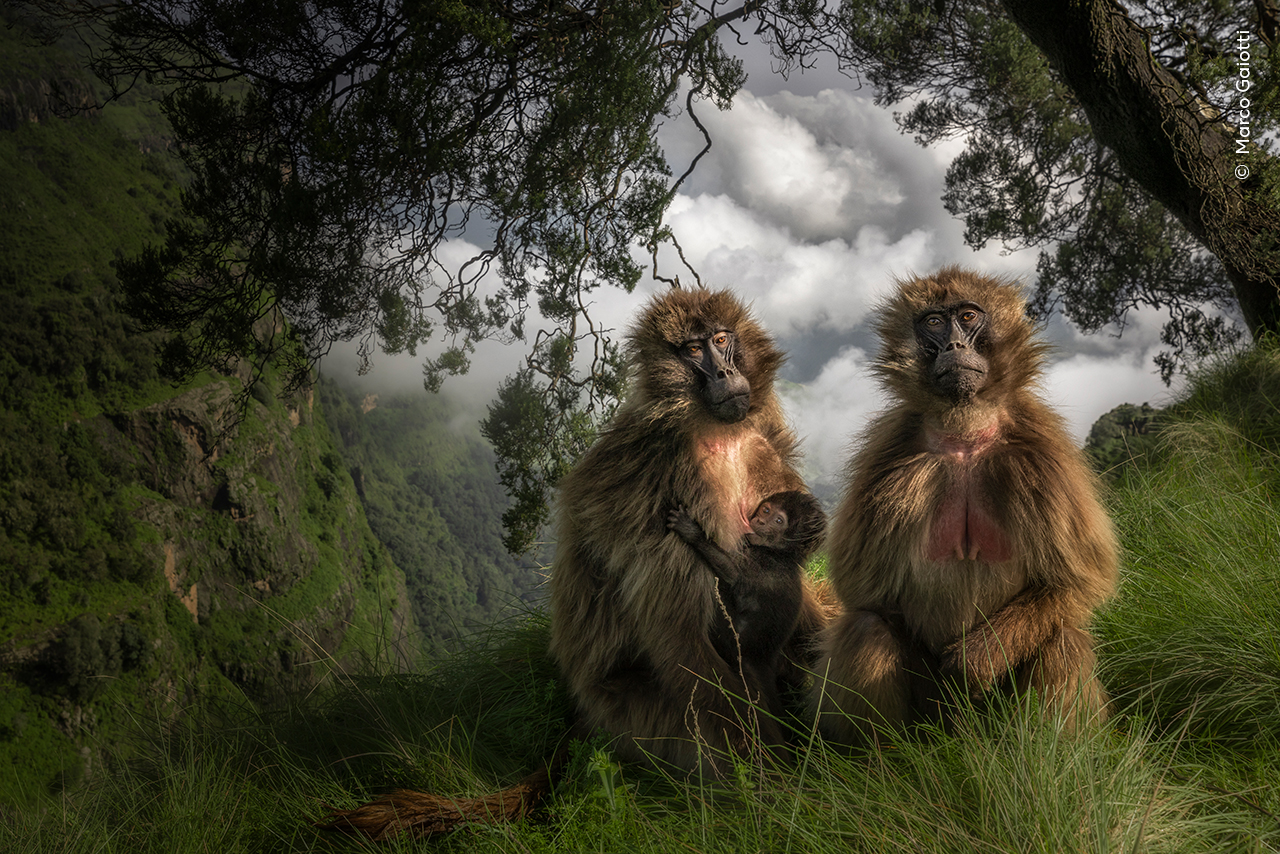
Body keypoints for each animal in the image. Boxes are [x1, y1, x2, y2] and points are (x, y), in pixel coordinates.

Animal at [667, 490, 826, 725]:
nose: (759, 521)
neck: (781, 555)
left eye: (778, 521)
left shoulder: (763, 568)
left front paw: (692, 531)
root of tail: (762, 660)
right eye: (766, 510)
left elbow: (733, 575)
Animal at [812, 267, 1119, 745]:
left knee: (1063, 639)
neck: (965, 435)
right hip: (932, 718)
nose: (955, 347)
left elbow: (1077, 581)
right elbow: (865, 593)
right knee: (868, 628)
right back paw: (878, 757)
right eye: (934, 322)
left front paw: (978, 657)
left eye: (969, 316)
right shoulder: (887, 460)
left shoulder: (1042, 459)